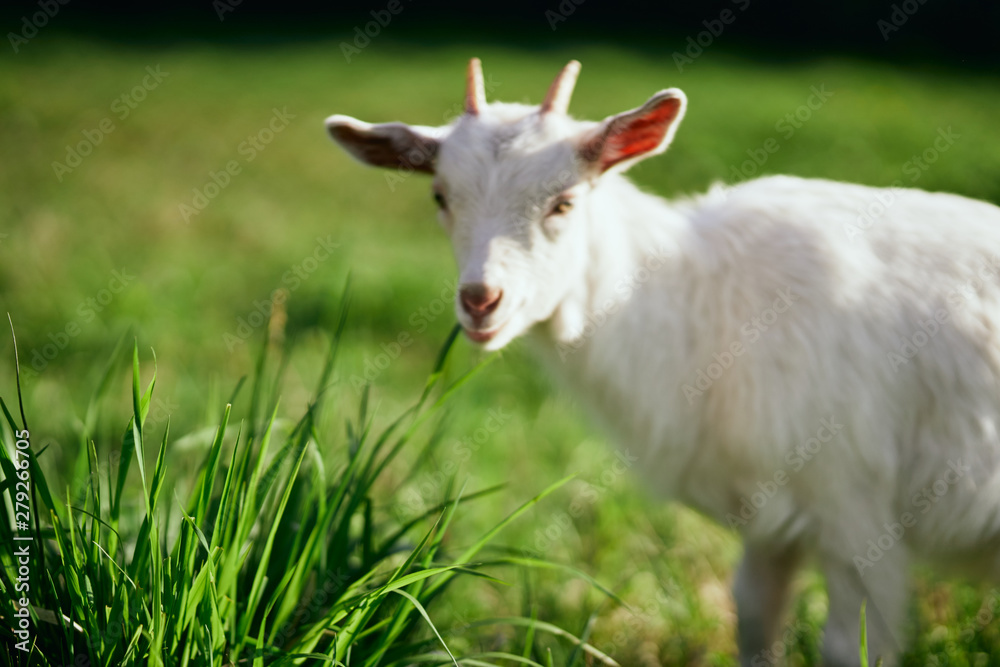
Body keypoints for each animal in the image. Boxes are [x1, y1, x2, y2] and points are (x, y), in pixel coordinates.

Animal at [328, 58, 1000, 667]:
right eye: (440, 195)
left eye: (564, 202)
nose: (480, 301)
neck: (706, 301)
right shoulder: (772, 518)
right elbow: (753, 617)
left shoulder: (856, 504)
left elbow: (851, 648)